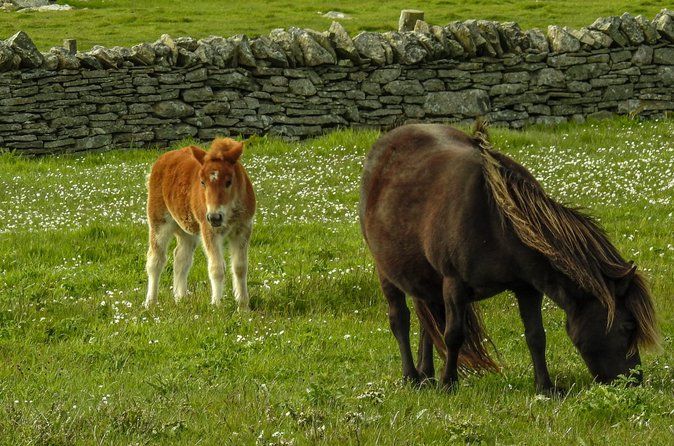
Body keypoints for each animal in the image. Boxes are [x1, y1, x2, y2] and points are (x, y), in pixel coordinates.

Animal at [144, 137, 256, 311]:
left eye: (229, 181)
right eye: (202, 182)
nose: (215, 217)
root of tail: (162, 159)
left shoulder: (243, 228)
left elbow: (240, 267)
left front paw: (243, 306)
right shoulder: (209, 229)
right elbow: (217, 268)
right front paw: (217, 305)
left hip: (187, 229)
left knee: (181, 258)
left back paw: (181, 298)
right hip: (158, 221)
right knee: (156, 260)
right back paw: (151, 303)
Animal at [359, 122, 660, 394]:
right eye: (628, 325)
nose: (634, 382)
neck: (497, 220)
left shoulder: (527, 287)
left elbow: (536, 336)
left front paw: (545, 387)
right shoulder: (454, 283)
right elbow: (453, 335)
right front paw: (449, 384)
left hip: (424, 278)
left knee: (426, 324)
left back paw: (426, 375)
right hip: (387, 271)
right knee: (400, 320)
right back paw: (412, 376)